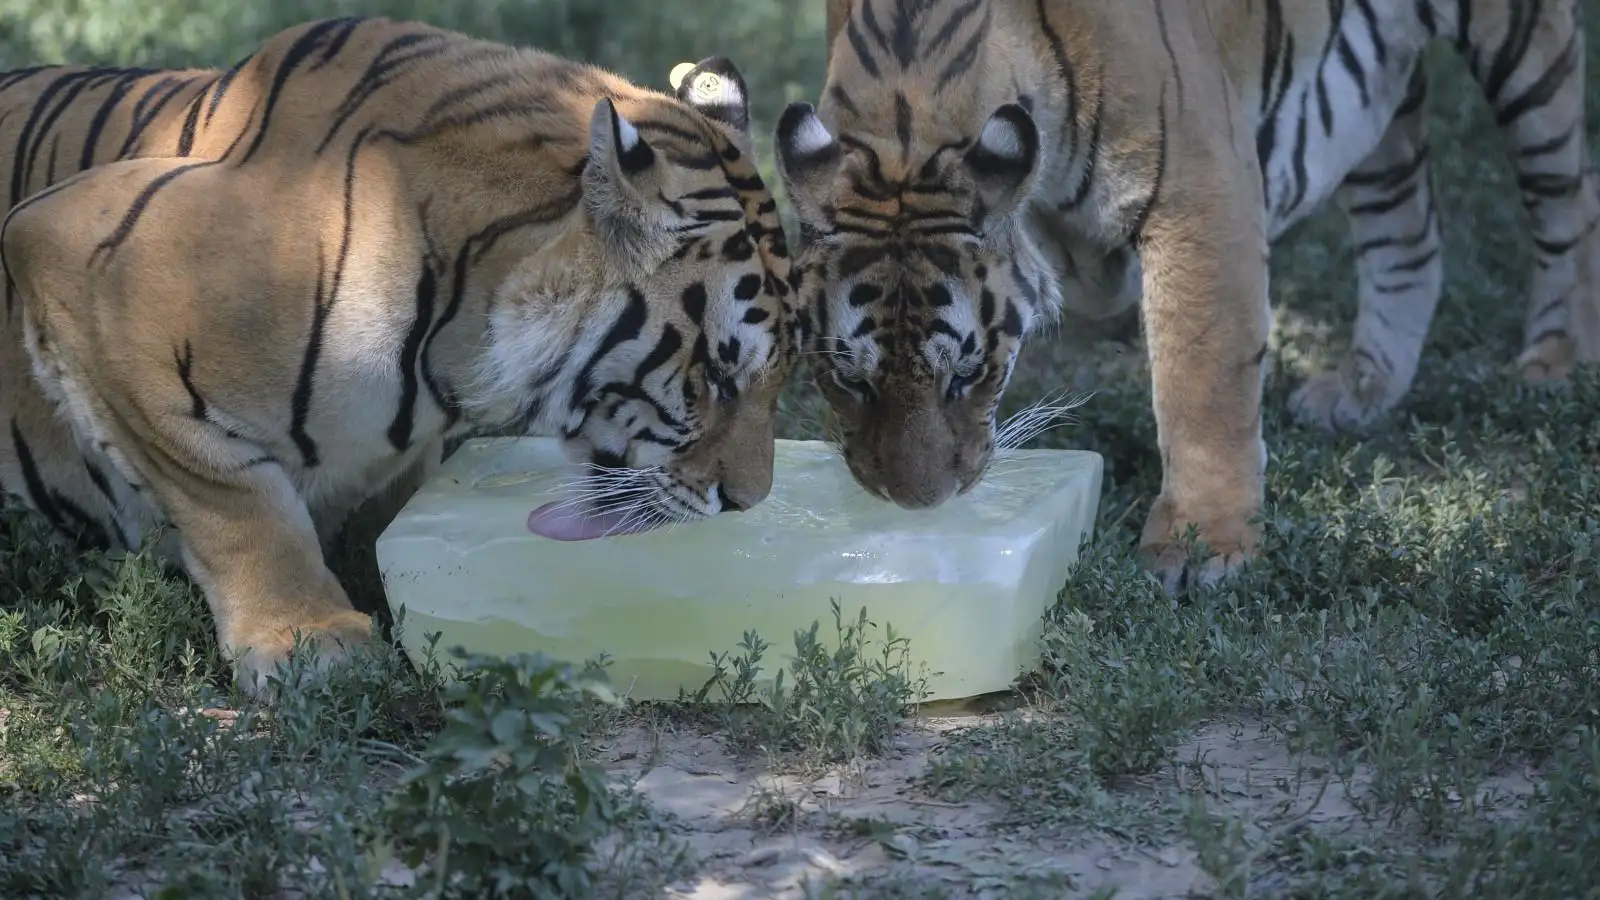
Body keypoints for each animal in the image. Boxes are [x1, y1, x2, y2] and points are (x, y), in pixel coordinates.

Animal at [768, 0, 1593, 589]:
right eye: (849, 380)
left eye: (966, 374)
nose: (919, 506)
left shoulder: (1199, 186)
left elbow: (1203, 381)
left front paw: (1201, 546)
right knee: (1410, 230)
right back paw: (1365, 386)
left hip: (1527, 58)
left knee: (1566, 199)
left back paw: (1557, 365)